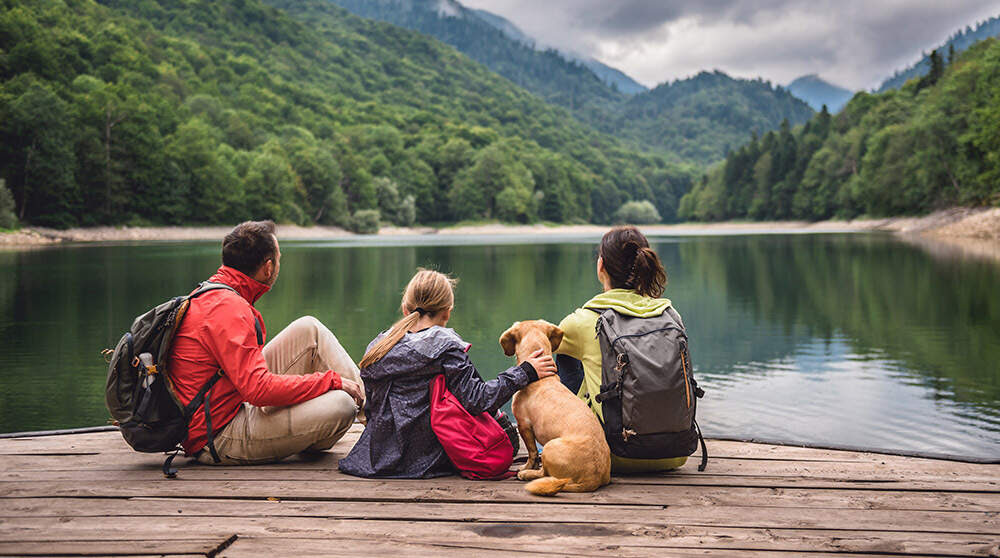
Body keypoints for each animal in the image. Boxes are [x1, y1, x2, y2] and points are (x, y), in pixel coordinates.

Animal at [498, 322, 608, 496]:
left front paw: (526, 467)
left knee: (544, 473)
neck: (542, 378)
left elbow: (532, 452)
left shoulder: (523, 425)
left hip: (549, 447)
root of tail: (592, 479)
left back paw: (526, 474)